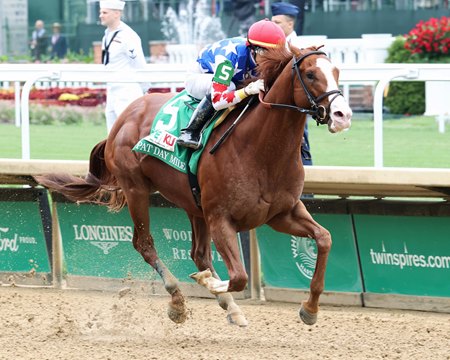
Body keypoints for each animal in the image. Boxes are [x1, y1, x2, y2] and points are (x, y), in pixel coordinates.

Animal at [36, 44, 352, 326]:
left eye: (336, 71)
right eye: (310, 74)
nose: (343, 115)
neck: (261, 150)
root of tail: (125, 116)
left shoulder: (281, 213)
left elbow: (324, 238)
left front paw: (310, 309)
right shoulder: (221, 218)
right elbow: (239, 277)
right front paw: (208, 284)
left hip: (193, 204)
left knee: (199, 254)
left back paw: (230, 307)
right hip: (136, 189)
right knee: (145, 244)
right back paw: (177, 299)